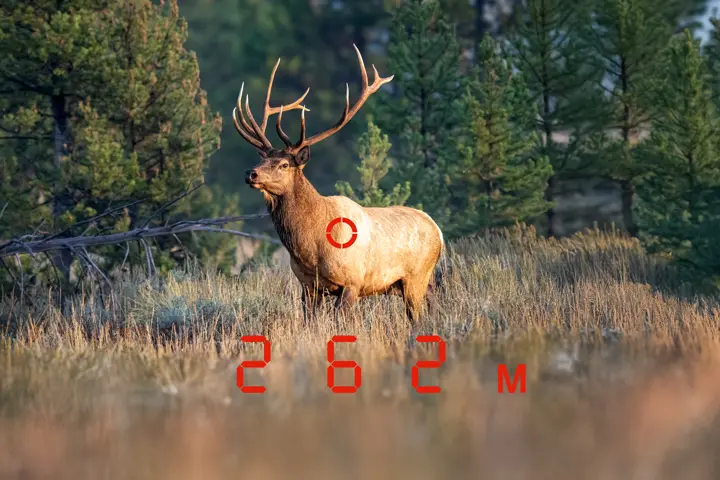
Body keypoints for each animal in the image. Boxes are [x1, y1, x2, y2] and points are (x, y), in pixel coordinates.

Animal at [233, 45, 445, 326]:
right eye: (264, 159)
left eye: (284, 165)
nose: (251, 174)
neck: (310, 247)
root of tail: (438, 231)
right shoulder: (308, 286)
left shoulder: (352, 282)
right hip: (420, 282)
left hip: (416, 276)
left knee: (417, 315)